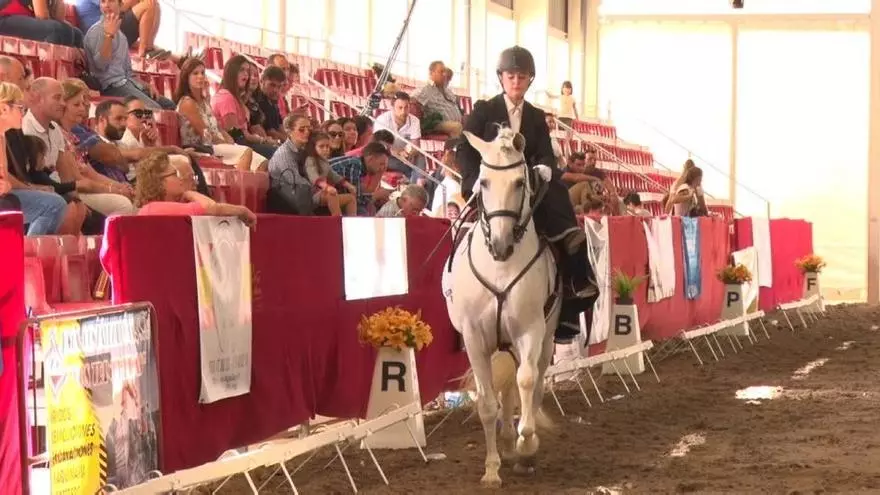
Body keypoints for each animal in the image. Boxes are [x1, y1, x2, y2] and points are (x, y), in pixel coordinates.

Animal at [444, 127, 561, 487]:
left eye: (520, 182)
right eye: (483, 182)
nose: (500, 244)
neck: (500, 266)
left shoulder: (530, 331)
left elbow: (526, 381)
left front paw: (527, 445)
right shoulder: (474, 339)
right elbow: (487, 403)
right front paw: (492, 469)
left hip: (543, 339)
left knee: (531, 385)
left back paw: (520, 447)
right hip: (501, 342)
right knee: (506, 391)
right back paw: (507, 444)